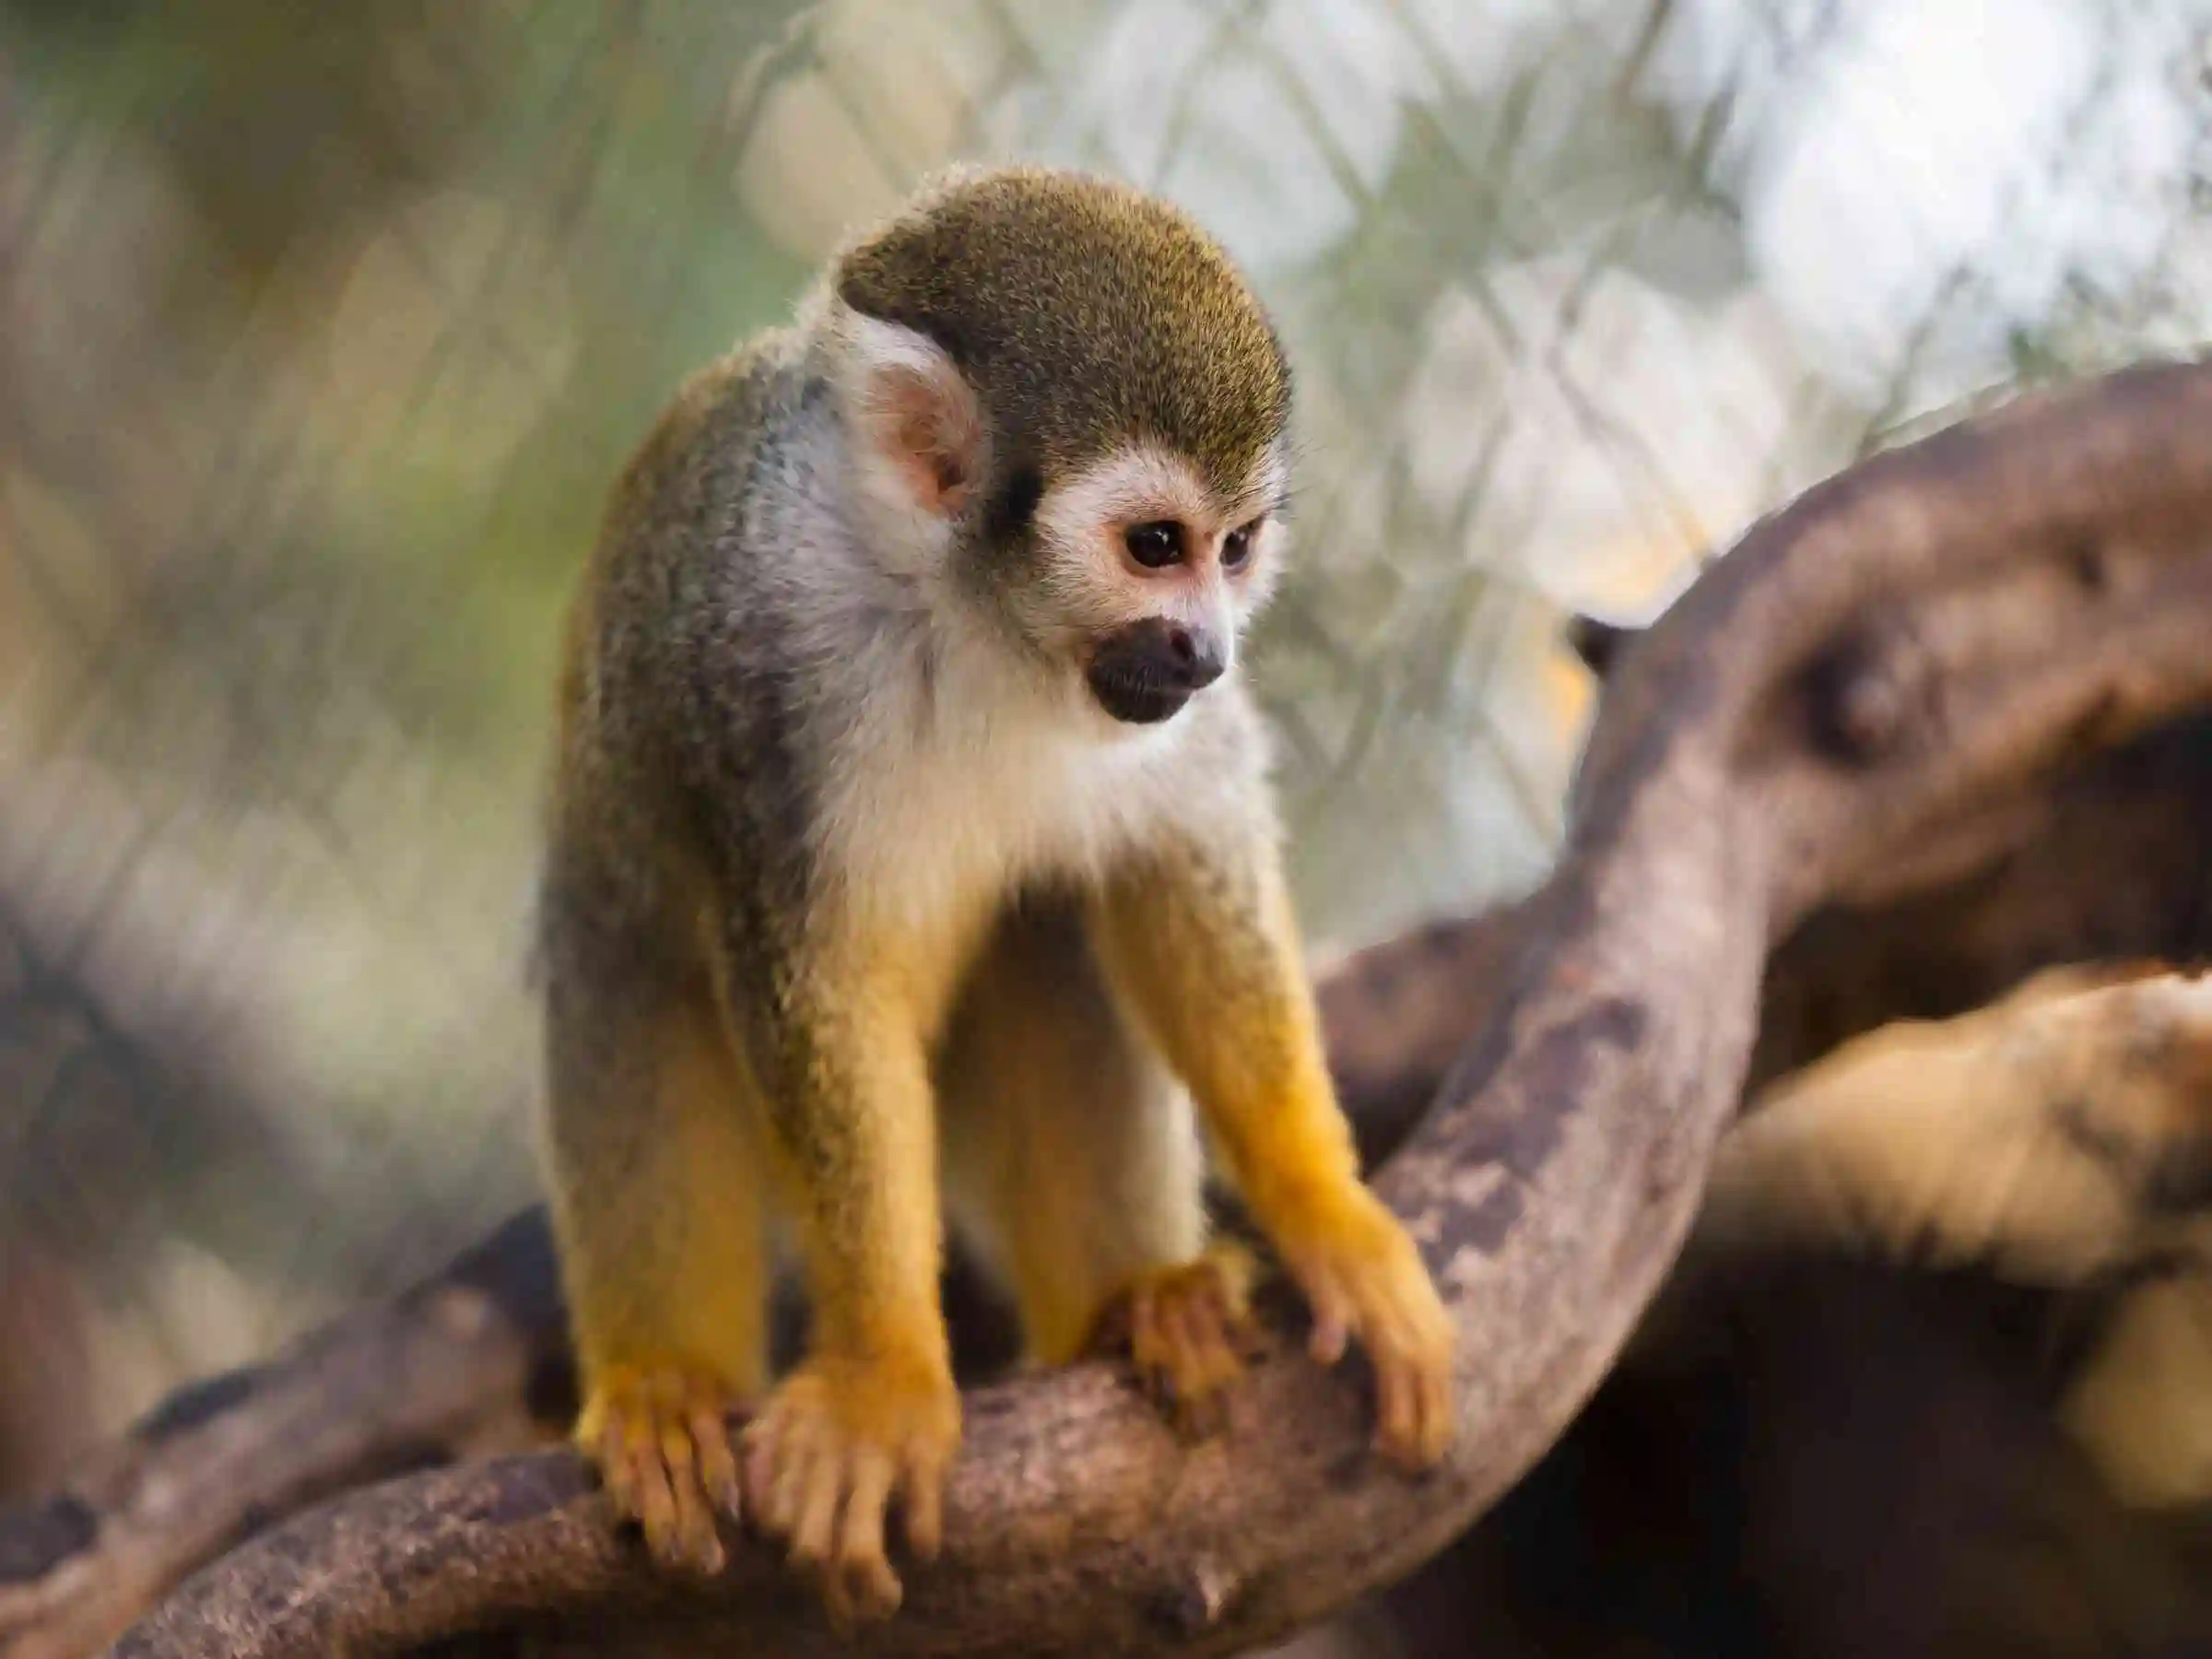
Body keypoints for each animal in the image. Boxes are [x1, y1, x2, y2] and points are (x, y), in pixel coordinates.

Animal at [534, 163, 1457, 1625]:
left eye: (1237, 548)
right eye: (1155, 545)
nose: (1207, 651)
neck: (981, 623)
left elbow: (1184, 872)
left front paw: (1331, 1218)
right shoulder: (759, 671)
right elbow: (818, 986)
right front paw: (888, 1378)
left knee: (1054, 930)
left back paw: (1139, 1304)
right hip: (600, 901)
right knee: (638, 1011)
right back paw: (665, 1390)